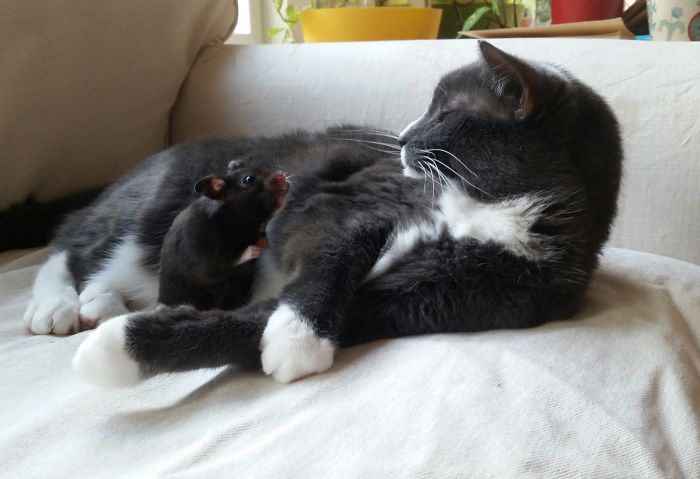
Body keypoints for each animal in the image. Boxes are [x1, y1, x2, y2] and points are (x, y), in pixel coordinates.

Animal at [157, 162, 289, 311]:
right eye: (248, 179)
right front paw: (256, 249)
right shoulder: (208, 260)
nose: (282, 175)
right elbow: (233, 258)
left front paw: (263, 243)